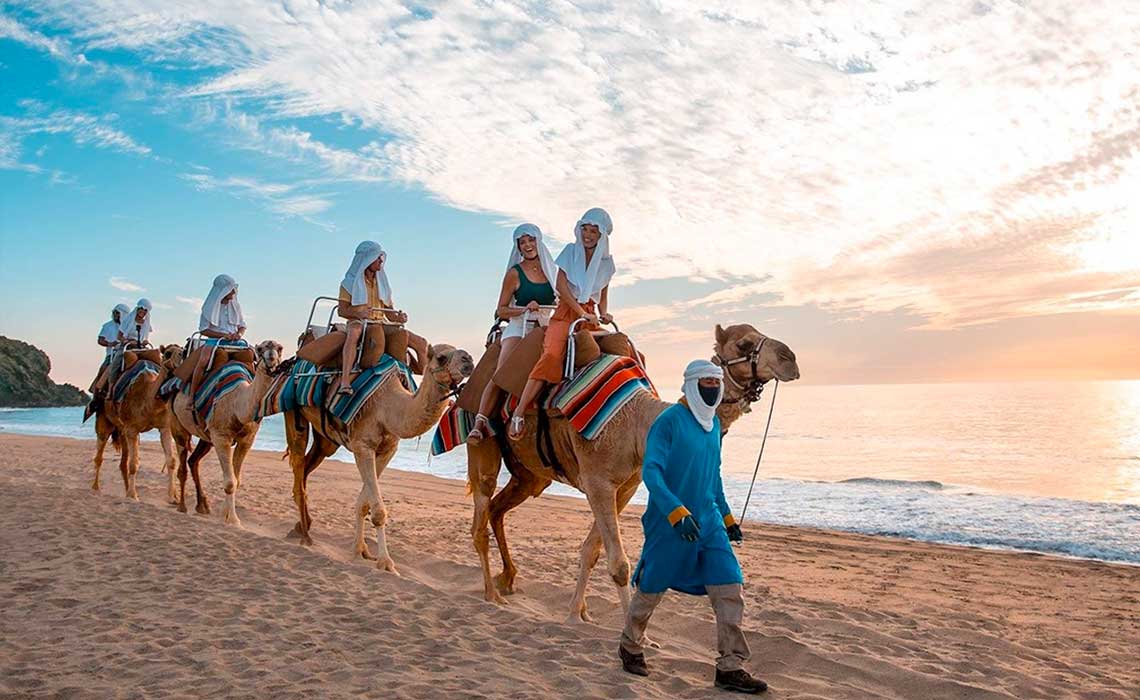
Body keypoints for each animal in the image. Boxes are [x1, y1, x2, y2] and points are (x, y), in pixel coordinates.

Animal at [91, 346, 182, 503]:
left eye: (183, 348)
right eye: (167, 353)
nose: (182, 355)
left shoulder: (164, 427)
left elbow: (171, 461)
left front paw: (172, 497)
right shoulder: (132, 429)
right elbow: (133, 464)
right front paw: (133, 495)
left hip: (122, 431)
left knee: (122, 463)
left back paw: (126, 489)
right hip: (104, 419)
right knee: (99, 455)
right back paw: (96, 488)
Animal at [168, 339, 285, 526]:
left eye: (279, 348)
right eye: (260, 349)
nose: (271, 358)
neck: (237, 404)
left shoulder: (247, 439)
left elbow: (236, 481)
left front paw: (225, 514)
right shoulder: (221, 436)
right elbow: (230, 482)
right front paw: (233, 520)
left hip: (206, 438)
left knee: (193, 461)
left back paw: (202, 506)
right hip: (178, 425)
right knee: (182, 464)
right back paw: (182, 506)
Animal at [282, 342, 474, 572]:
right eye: (442, 357)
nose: (469, 359)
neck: (388, 407)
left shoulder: (388, 449)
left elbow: (363, 504)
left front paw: (360, 550)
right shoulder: (363, 447)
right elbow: (378, 511)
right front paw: (386, 562)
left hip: (326, 439)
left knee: (306, 468)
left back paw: (300, 527)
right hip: (293, 412)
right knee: (298, 465)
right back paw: (305, 537)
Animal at [465, 326, 802, 624]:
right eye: (744, 344)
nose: (791, 357)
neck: (638, 419)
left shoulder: (626, 487)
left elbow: (591, 551)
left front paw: (579, 613)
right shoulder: (598, 482)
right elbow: (619, 564)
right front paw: (630, 634)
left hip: (530, 475)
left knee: (498, 508)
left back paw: (508, 578)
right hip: (484, 443)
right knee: (481, 513)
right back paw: (492, 593)